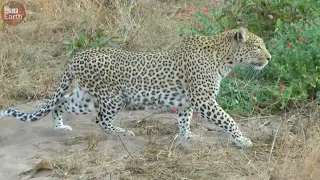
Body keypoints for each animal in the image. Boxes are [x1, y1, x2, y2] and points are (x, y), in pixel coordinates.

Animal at [0, 27, 272, 148]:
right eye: (257, 46)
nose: (269, 58)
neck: (223, 57)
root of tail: (76, 56)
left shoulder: (187, 101)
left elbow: (185, 120)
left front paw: (185, 137)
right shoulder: (204, 100)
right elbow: (228, 119)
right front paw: (241, 139)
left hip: (85, 97)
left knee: (62, 101)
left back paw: (60, 126)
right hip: (112, 97)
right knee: (100, 120)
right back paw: (122, 132)